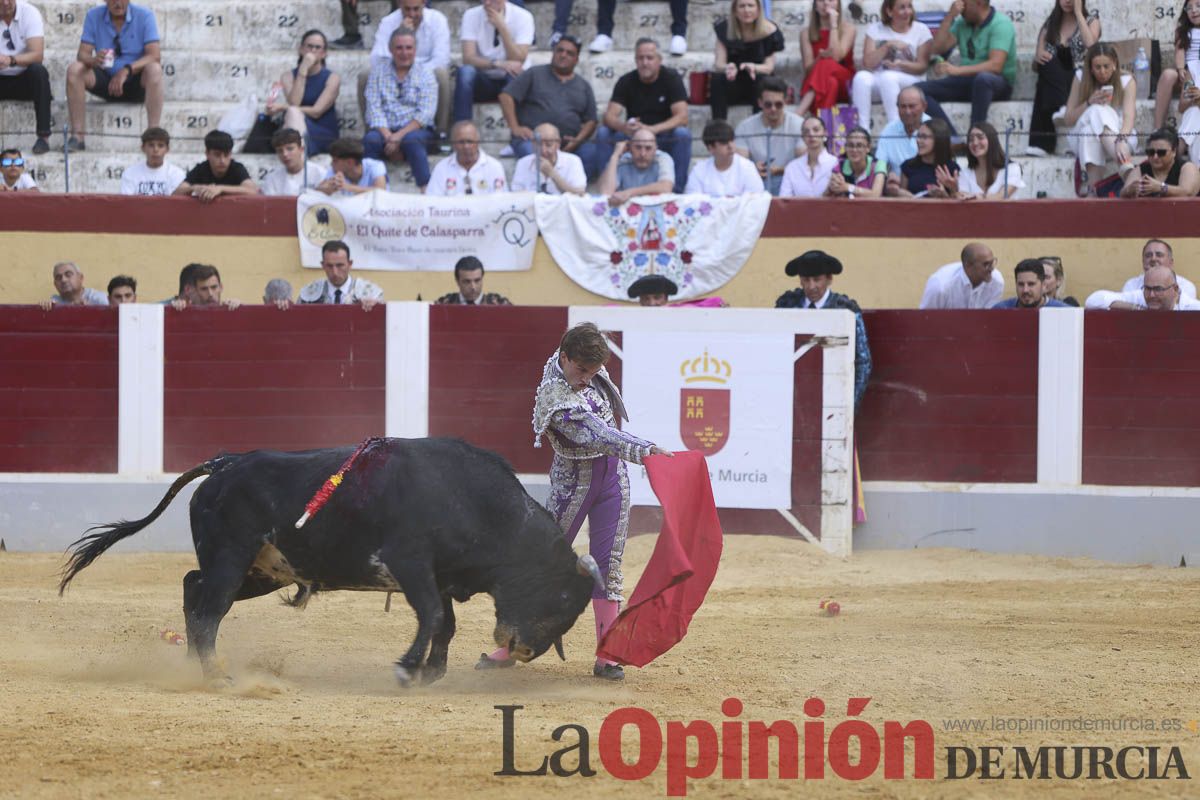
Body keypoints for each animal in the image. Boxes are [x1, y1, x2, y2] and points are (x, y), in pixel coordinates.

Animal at [57, 438, 604, 690]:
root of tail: (226, 463)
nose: (525, 651)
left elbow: (444, 623)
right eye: (561, 597)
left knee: (194, 588)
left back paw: (196, 666)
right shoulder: (410, 565)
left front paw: (430, 672)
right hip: (233, 558)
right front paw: (408, 669)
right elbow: (431, 617)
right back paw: (216, 675)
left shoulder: (437, 577)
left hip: (259, 569)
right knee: (208, 608)